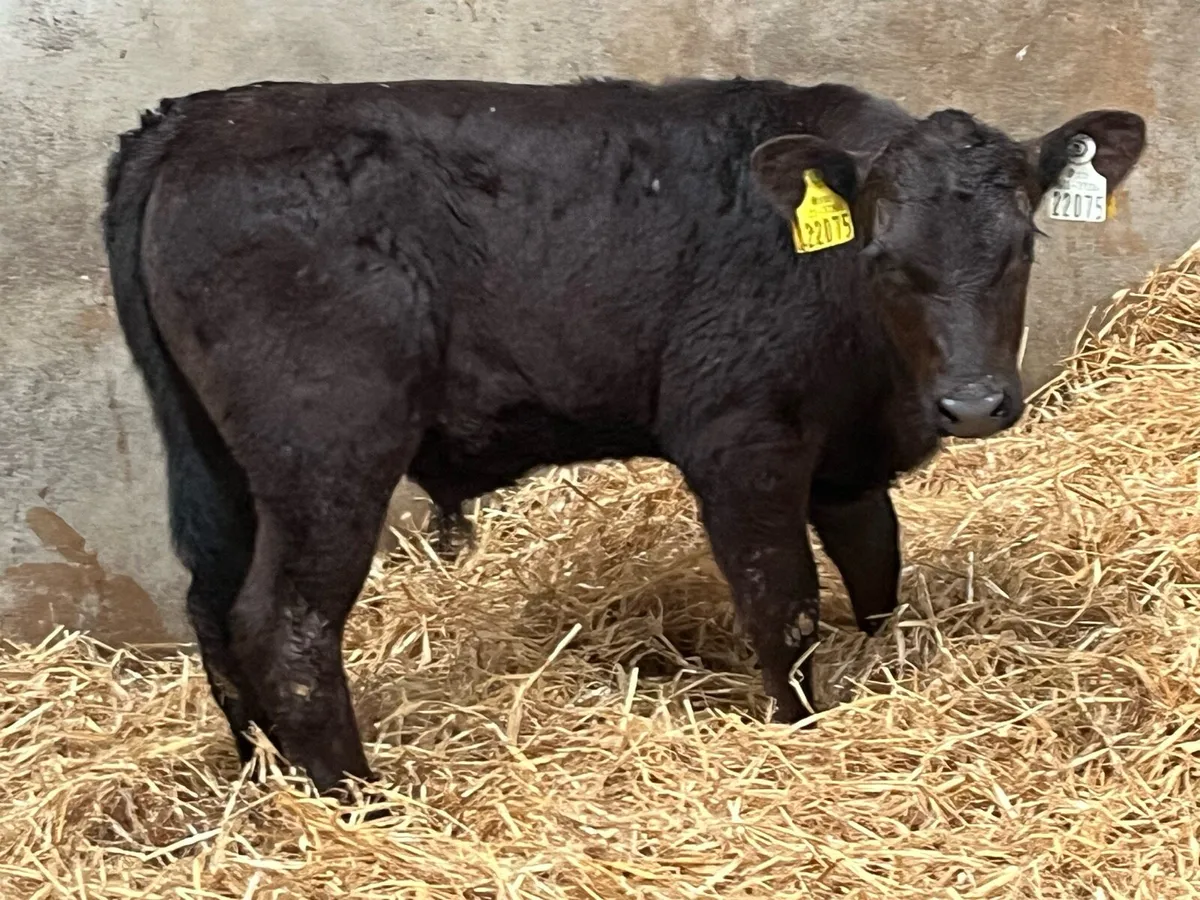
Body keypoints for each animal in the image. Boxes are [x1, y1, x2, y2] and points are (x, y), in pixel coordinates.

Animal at [102, 76, 1146, 798]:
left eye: (1022, 247)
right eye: (884, 257)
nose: (971, 404)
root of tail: (195, 119)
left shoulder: (847, 461)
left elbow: (874, 570)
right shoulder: (740, 442)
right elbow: (784, 604)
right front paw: (802, 733)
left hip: (213, 457)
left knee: (211, 606)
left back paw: (261, 781)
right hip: (327, 447)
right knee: (283, 623)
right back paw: (363, 804)